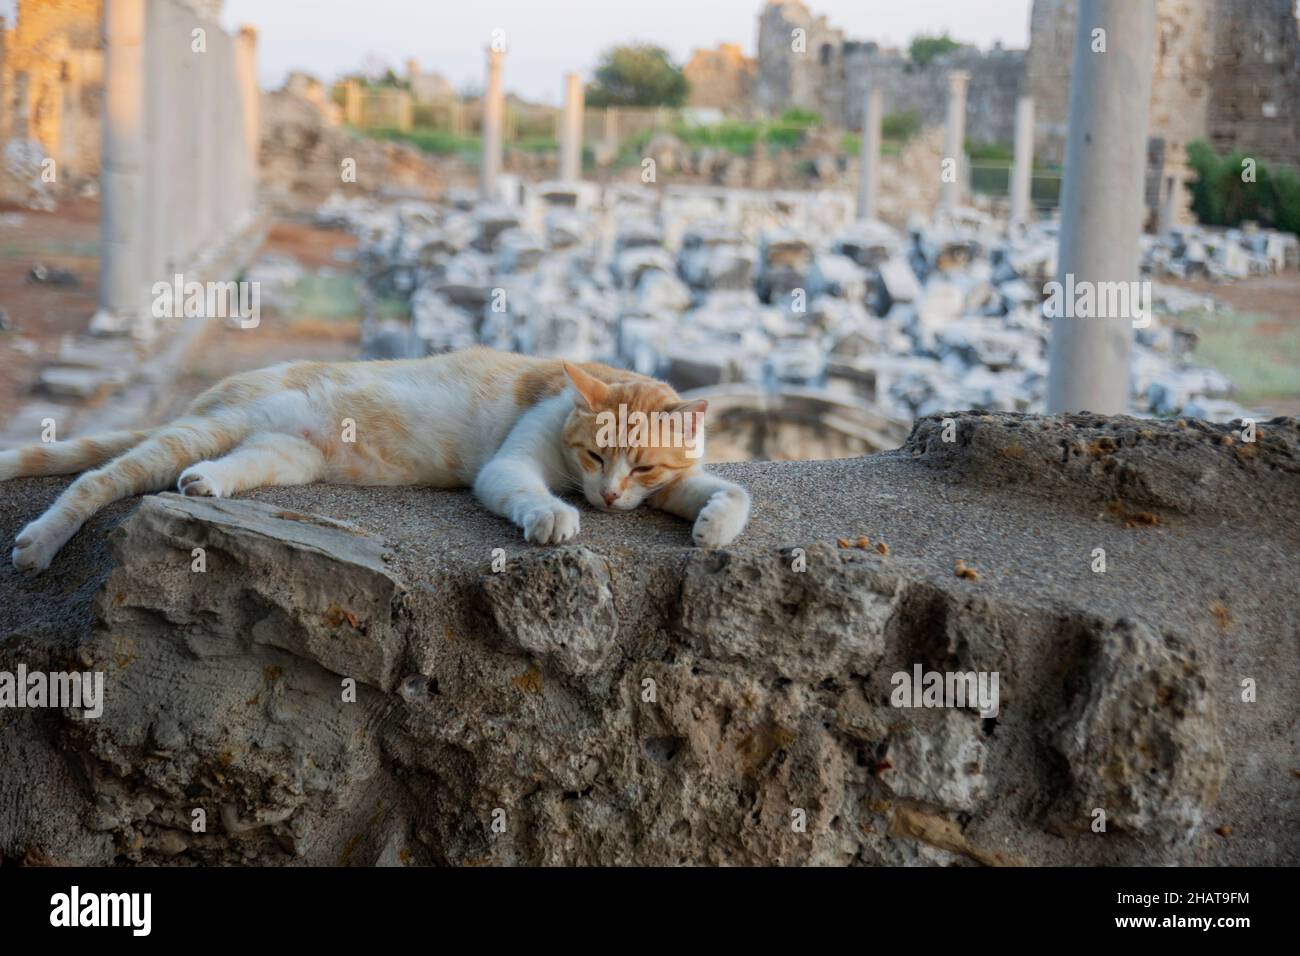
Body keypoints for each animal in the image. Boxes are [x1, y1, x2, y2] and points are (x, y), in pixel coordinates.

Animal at [0, 348, 754, 572]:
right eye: (595, 453)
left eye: (644, 468)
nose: (609, 498)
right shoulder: (511, 467)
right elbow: (530, 492)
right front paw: (555, 518)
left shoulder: (677, 483)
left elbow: (728, 492)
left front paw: (713, 528)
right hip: (201, 431)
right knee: (98, 478)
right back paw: (40, 542)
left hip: (282, 456)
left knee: (229, 466)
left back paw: (206, 483)